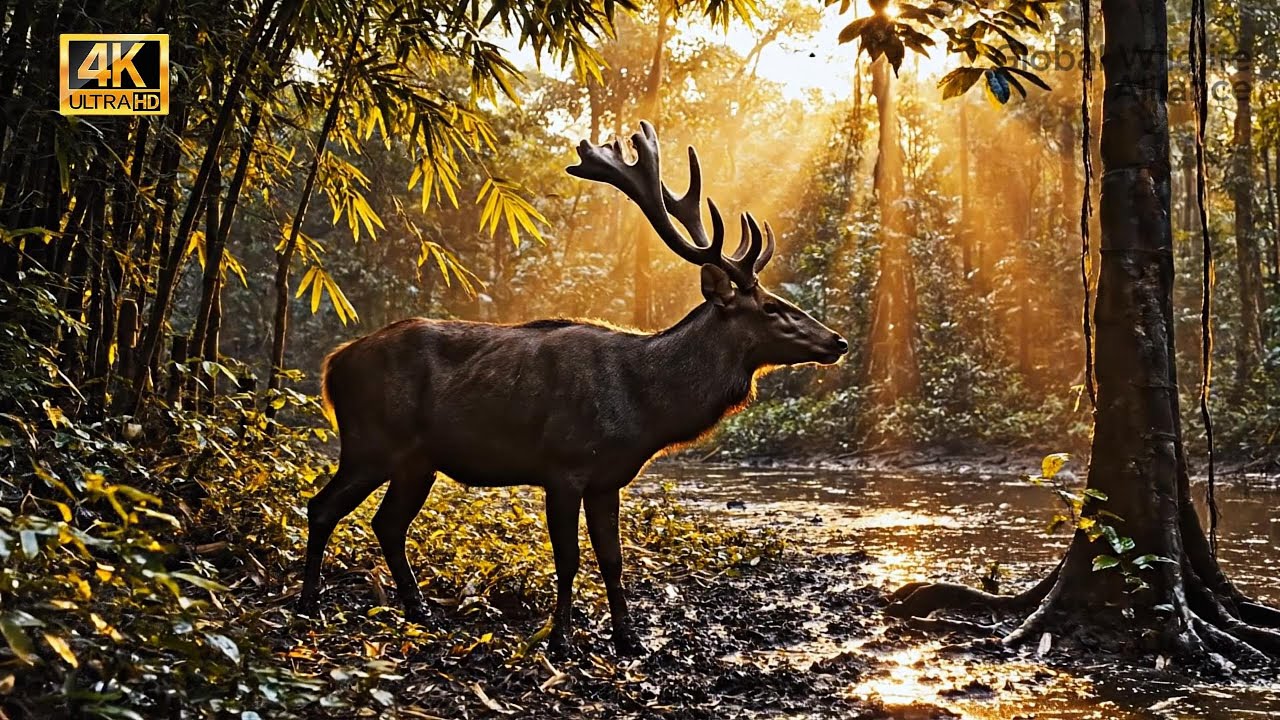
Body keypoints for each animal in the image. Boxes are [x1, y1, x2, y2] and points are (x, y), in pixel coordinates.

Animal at [298, 121, 847, 656]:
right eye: (773, 308)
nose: (837, 340)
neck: (644, 405)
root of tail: (332, 364)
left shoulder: (608, 477)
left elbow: (613, 558)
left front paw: (628, 638)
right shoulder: (562, 466)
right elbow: (569, 558)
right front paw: (560, 639)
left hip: (417, 461)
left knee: (387, 523)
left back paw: (419, 610)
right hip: (371, 441)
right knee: (323, 506)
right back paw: (309, 606)